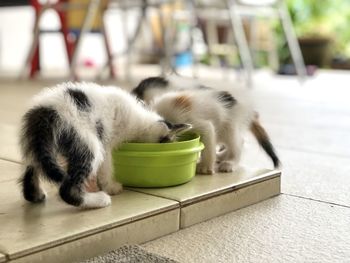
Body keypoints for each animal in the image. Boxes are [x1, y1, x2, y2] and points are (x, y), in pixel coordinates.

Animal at [19, 81, 190, 209]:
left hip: (40, 144)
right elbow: (106, 167)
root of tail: (45, 110)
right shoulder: (106, 142)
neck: (139, 119)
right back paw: (98, 200)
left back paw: (36, 195)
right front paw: (111, 187)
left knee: (34, 165)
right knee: (68, 189)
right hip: (85, 139)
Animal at [133, 76, 280, 175]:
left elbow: (207, 140)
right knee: (239, 141)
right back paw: (221, 157)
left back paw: (230, 162)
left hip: (230, 124)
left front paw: (205, 167)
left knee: (236, 143)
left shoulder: (196, 122)